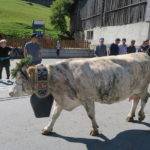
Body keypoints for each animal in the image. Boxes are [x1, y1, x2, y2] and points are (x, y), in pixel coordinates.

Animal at [9, 53, 150, 136]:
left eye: (19, 79)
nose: (10, 92)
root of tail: (141, 53)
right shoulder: (61, 99)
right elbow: (54, 115)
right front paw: (47, 129)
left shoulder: (87, 98)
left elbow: (91, 115)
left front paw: (95, 130)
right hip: (134, 88)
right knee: (136, 100)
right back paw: (130, 116)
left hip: (143, 86)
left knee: (144, 98)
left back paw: (140, 115)